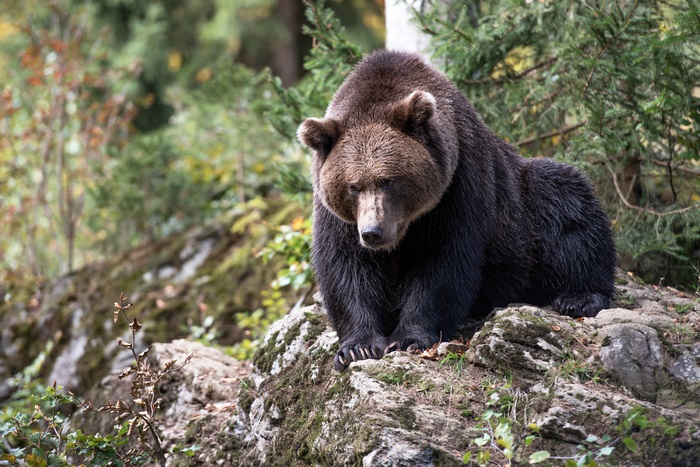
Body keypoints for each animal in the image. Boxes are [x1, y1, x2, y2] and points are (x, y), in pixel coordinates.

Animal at [297, 49, 616, 371]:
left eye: (388, 180)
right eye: (353, 186)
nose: (373, 232)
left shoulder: (458, 184)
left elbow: (443, 262)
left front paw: (409, 338)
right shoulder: (336, 215)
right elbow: (346, 267)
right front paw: (357, 347)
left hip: (525, 211)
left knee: (564, 202)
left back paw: (579, 297)